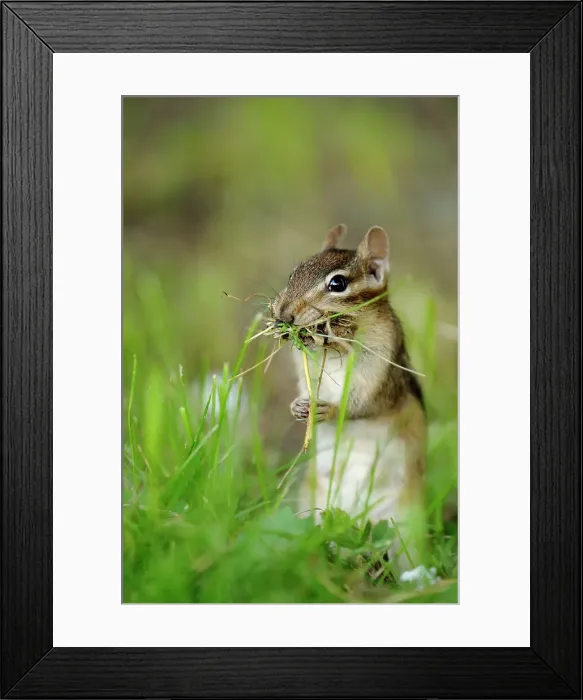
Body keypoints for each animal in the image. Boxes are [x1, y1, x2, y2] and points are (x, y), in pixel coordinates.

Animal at [272, 224, 426, 559]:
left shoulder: (381, 371)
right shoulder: (305, 369)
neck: (334, 349)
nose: (284, 315)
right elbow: (303, 387)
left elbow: (363, 403)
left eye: (338, 283)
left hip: (406, 527)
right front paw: (296, 407)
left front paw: (328, 409)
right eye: (292, 274)